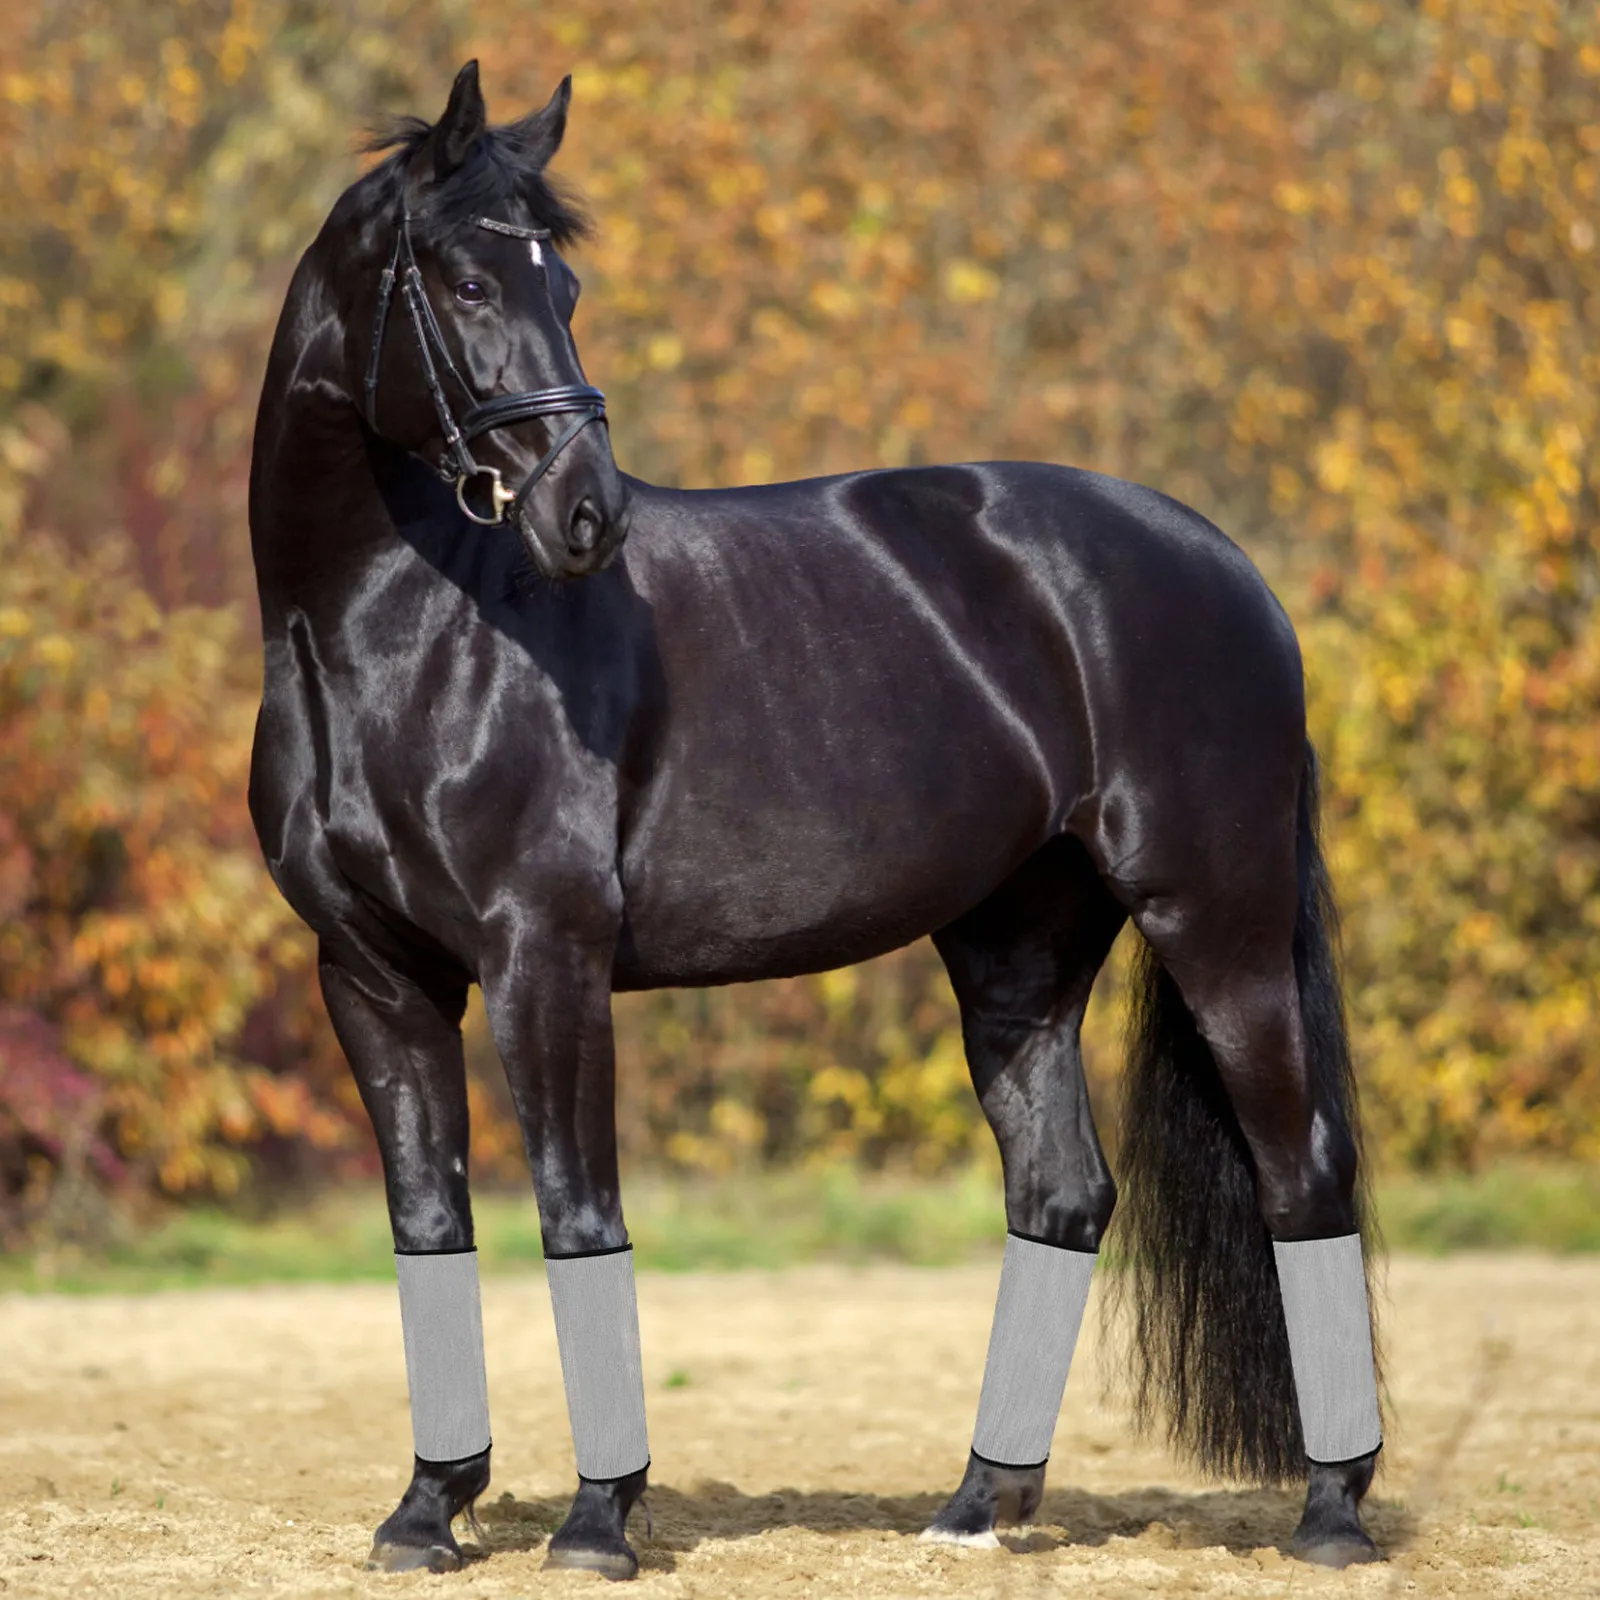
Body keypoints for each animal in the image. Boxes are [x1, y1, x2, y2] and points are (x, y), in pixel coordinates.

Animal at [248, 61, 1383, 1581]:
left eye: (566, 283)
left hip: (1221, 921)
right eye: (468, 282)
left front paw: (597, 1524)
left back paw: (1331, 1511)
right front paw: (428, 1511)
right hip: (1018, 955)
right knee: (1062, 1191)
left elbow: (576, 1210)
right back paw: (977, 1507)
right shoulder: (373, 974)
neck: (396, 631)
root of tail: (1231, 570)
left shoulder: (545, 958)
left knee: (1300, 1173)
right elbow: (430, 1223)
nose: (587, 515)